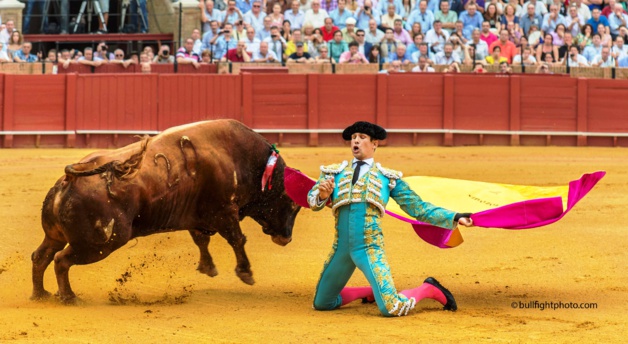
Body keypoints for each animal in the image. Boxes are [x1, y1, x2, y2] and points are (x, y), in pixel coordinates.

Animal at [31, 119, 302, 302]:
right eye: (293, 204)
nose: (286, 238)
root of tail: (69, 178)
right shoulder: (225, 212)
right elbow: (237, 239)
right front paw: (245, 273)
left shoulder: (199, 216)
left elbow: (202, 240)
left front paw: (207, 268)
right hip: (99, 244)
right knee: (61, 260)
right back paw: (68, 297)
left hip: (55, 235)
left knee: (41, 256)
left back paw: (40, 294)